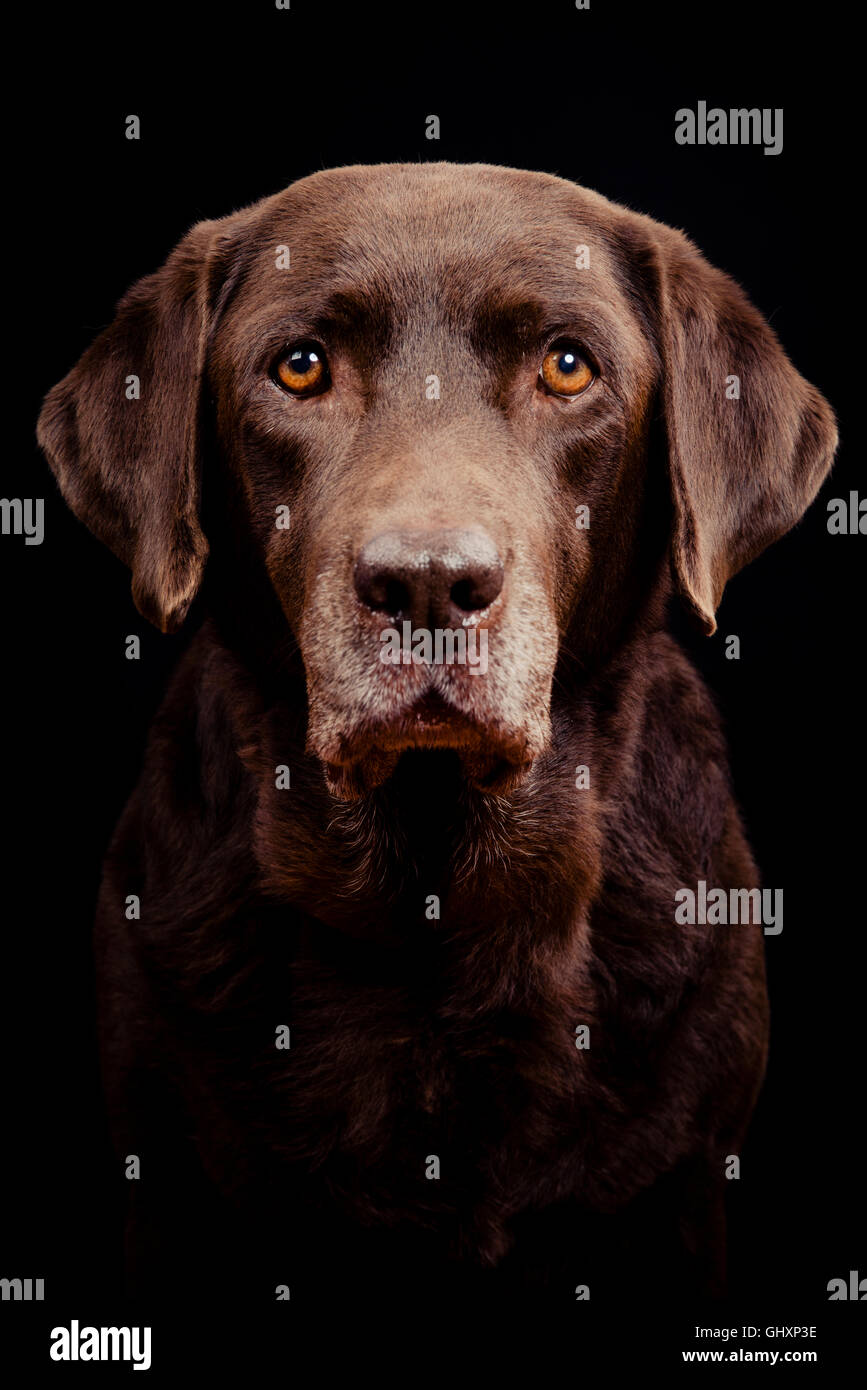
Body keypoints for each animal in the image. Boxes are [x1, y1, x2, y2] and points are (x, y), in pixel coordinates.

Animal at [35, 162, 839, 1301]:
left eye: (566, 366)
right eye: (298, 367)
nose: (425, 584)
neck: (432, 888)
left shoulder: (680, 1182)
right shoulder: (172, 1176)